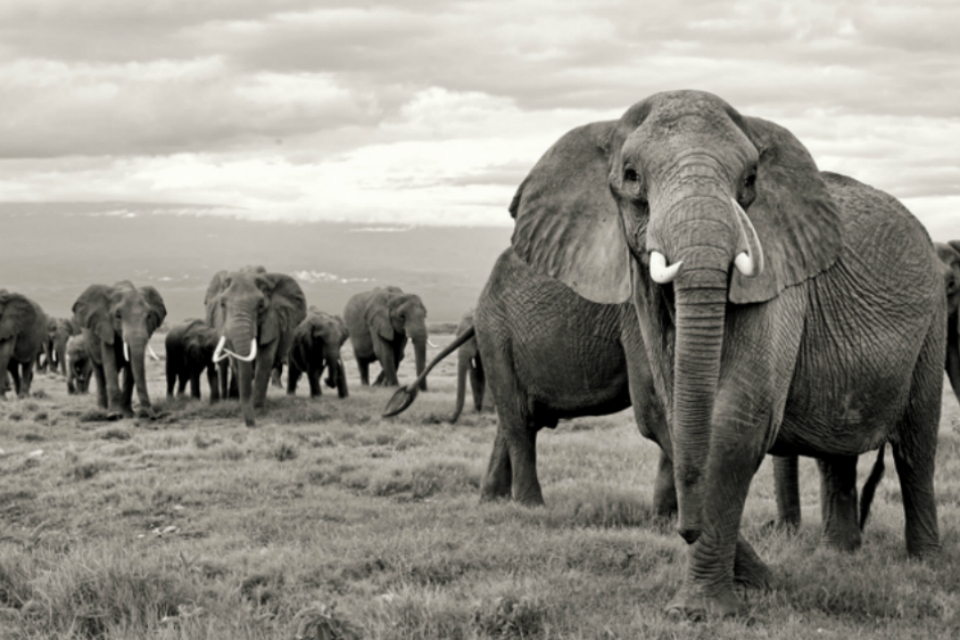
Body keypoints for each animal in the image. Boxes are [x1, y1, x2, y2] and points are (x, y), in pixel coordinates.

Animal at [73, 282, 166, 419]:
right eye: (118, 316)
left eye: (149, 316)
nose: (151, 415)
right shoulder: (105, 327)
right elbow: (109, 360)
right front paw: (115, 415)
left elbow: (130, 367)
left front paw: (128, 414)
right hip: (88, 343)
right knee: (99, 372)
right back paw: (102, 410)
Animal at [206, 269, 306, 427]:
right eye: (222, 304)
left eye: (260, 306)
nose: (251, 425)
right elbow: (237, 363)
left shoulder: (272, 322)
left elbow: (264, 360)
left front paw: (258, 410)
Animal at [507, 90, 945, 619]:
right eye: (631, 176)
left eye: (749, 180)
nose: (685, 529)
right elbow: (671, 420)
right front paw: (762, 582)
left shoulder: (776, 271)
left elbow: (735, 418)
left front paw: (701, 610)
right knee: (837, 454)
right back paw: (839, 557)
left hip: (934, 321)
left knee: (916, 446)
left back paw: (925, 566)